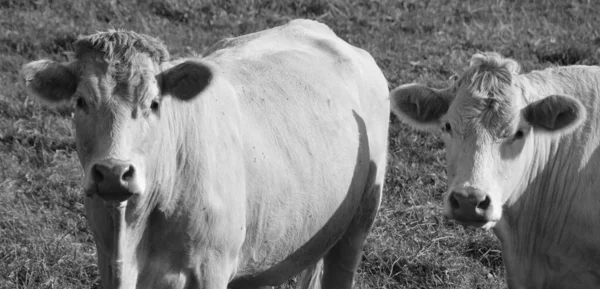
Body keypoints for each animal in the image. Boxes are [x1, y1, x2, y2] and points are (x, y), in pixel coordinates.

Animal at [19, 19, 390, 286]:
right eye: (80, 101)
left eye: (154, 103)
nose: (113, 172)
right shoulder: (107, 259)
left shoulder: (211, 268)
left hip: (358, 222)